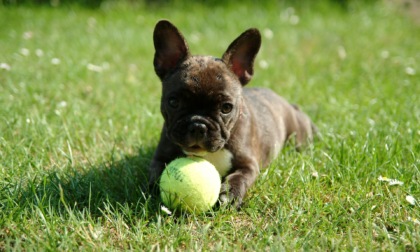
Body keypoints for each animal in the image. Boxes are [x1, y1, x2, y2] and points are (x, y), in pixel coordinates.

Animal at [148, 20, 316, 209]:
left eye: (226, 108)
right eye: (173, 102)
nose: (198, 125)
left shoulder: (248, 165)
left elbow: (239, 177)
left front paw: (230, 195)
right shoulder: (159, 157)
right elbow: (156, 175)